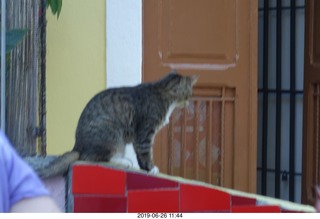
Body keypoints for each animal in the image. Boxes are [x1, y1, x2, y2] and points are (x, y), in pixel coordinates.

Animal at [37, 72, 198, 178]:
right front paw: (150, 168)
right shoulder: (145, 132)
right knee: (91, 157)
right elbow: (145, 153)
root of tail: (77, 146)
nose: (189, 102)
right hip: (112, 130)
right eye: (189, 94)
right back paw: (122, 161)